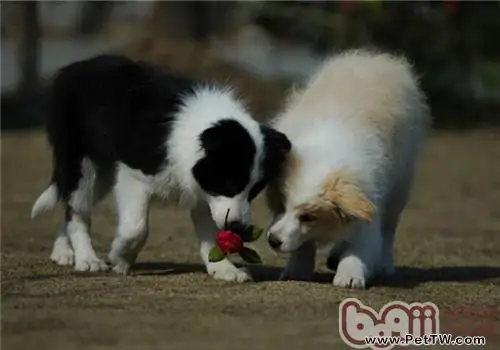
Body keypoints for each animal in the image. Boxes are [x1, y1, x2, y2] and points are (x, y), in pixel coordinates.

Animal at [31, 56, 292, 284]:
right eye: (229, 183)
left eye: (255, 191)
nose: (239, 228)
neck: (196, 131)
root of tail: (73, 68)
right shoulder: (133, 174)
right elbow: (136, 227)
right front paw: (120, 258)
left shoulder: (204, 190)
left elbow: (210, 232)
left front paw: (223, 269)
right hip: (82, 164)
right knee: (77, 208)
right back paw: (87, 258)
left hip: (102, 174)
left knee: (70, 205)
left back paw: (63, 251)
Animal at [266, 50, 430, 290]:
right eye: (281, 205)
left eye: (309, 217)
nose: (273, 240)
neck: (327, 152)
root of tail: (376, 59)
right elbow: (304, 244)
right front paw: (297, 269)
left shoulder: (369, 203)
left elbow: (360, 246)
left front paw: (350, 273)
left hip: (400, 188)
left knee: (388, 231)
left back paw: (383, 264)